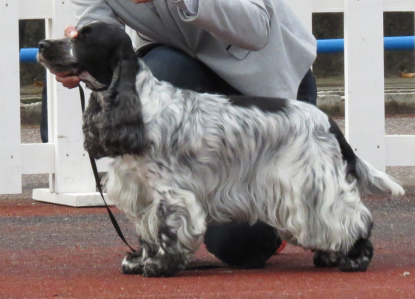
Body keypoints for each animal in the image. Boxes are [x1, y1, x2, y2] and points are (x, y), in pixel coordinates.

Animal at [37, 22, 404, 278]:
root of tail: (329, 121)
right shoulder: (141, 192)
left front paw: (161, 266)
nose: (41, 45)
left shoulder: (170, 193)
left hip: (314, 184)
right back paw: (330, 255)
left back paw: (355, 258)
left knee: (353, 219)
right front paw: (139, 260)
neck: (140, 105)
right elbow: (147, 231)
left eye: (84, 37)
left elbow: (166, 230)